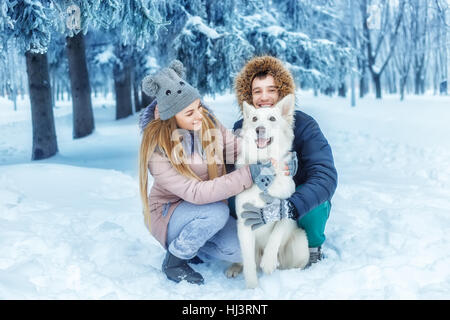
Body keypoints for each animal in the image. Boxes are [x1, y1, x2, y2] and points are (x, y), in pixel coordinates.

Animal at [229, 94, 310, 288]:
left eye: (272, 119)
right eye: (254, 119)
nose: (259, 129)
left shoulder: (288, 208)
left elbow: (277, 231)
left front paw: (268, 261)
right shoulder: (244, 224)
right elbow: (249, 263)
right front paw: (252, 288)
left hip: (300, 243)